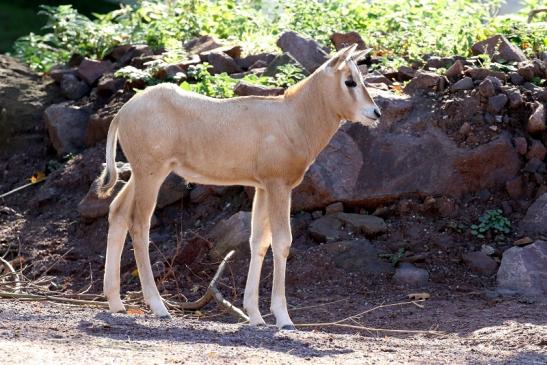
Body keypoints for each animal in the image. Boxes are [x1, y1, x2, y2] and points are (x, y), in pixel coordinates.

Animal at [97, 44, 382, 328]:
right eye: (349, 80)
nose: (375, 113)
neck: (294, 116)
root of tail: (122, 113)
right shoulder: (279, 185)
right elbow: (282, 242)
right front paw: (283, 318)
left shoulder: (262, 187)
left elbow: (259, 241)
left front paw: (255, 316)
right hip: (152, 173)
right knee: (139, 223)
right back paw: (158, 306)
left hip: (141, 174)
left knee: (118, 211)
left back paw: (116, 302)